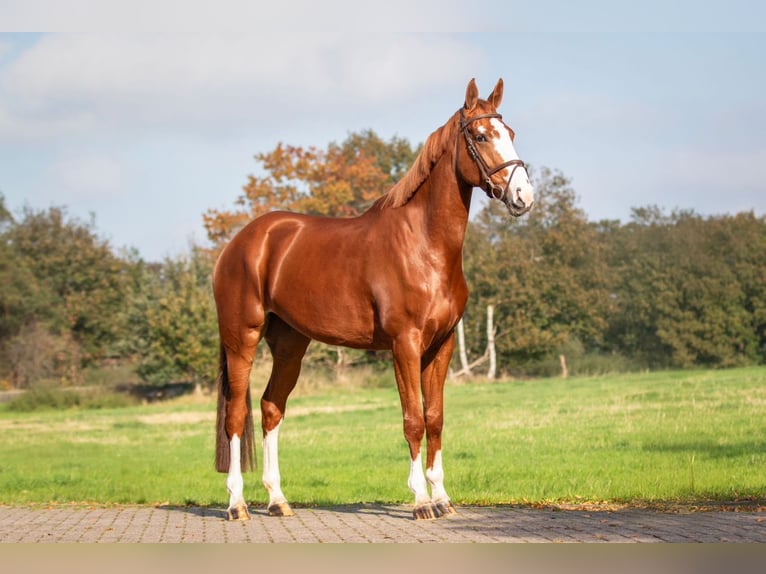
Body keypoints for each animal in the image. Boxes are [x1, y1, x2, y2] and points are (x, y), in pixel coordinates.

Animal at [210, 77, 536, 520]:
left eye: (511, 133)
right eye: (482, 136)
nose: (524, 196)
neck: (424, 245)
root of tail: (240, 243)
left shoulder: (442, 346)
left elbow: (435, 418)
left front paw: (442, 497)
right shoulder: (405, 345)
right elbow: (413, 420)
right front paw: (420, 501)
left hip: (290, 344)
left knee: (270, 408)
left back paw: (277, 500)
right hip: (241, 338)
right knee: (236, 414)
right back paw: (237, 504)